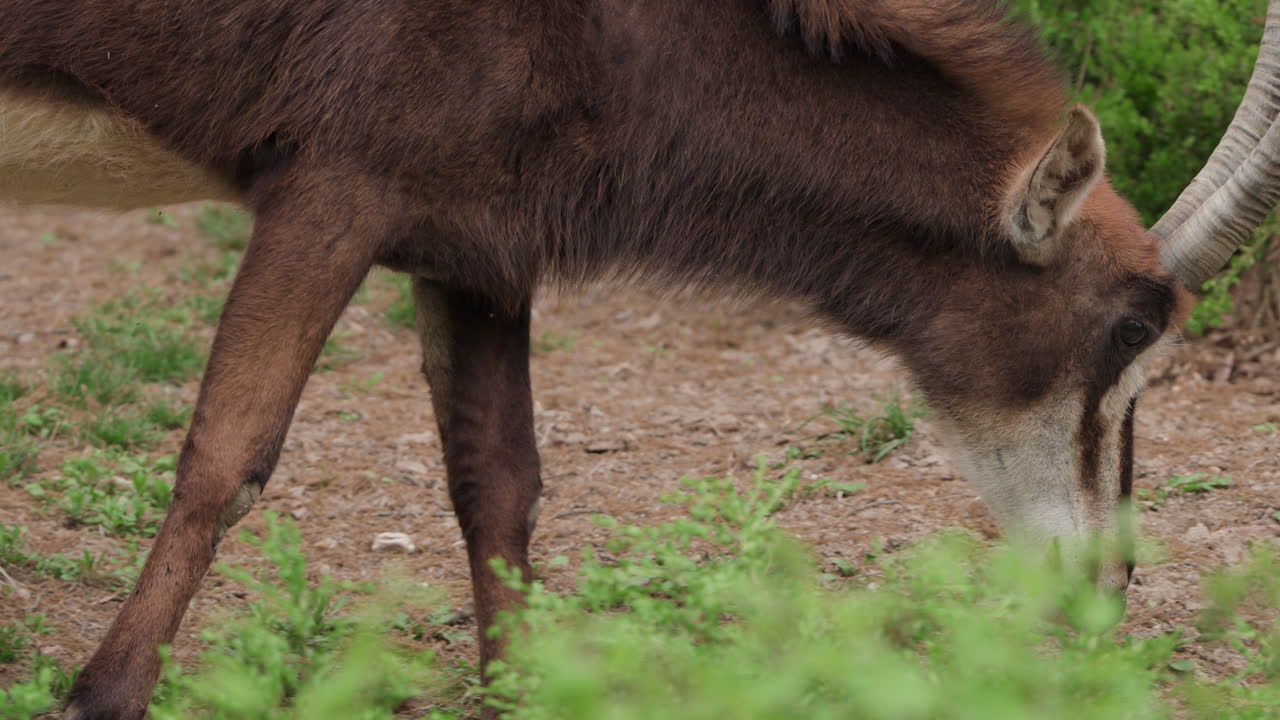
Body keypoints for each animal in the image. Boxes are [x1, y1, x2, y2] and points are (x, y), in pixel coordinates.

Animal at [3, 1, 1279, 717]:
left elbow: (499, 485)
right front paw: (98, 696)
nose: (1104, 585)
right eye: (1128, 329)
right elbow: (229, 455)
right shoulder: (331, 188)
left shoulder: (472, 242)